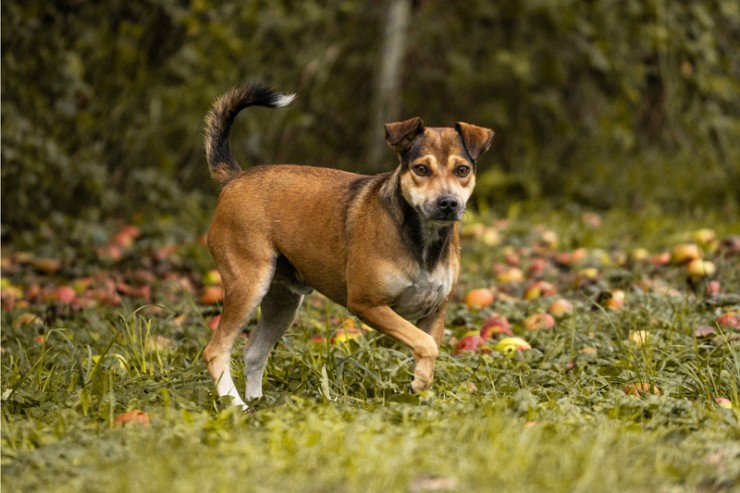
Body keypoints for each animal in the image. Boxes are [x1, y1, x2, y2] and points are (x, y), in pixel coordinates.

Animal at [202, 83, 494, 408]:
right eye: (421, 169)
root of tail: (235, 178)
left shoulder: (435, 312)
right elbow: (426, 344)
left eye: (462, 170)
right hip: (248, 287)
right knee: (216, 350)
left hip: (283, 302)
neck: (423, 239)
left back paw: (257, 403)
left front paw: (421, 392)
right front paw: (419, 383)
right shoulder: (367, 304)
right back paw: (236, 405)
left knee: (253, 351)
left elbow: (427, 347)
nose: (448, 203)